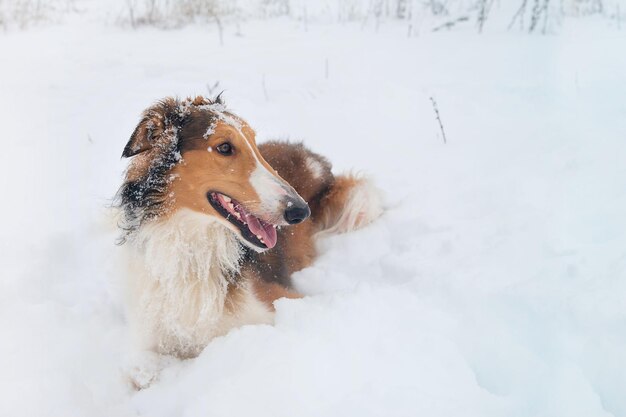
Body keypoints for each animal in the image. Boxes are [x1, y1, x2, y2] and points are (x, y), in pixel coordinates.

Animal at [116, 94, 380, 374]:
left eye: (253, 144)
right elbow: (141, 372)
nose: (300, 211)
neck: (192, 248)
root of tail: (310, 158)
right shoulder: (147, 343)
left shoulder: (285, 304)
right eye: (224, 147)